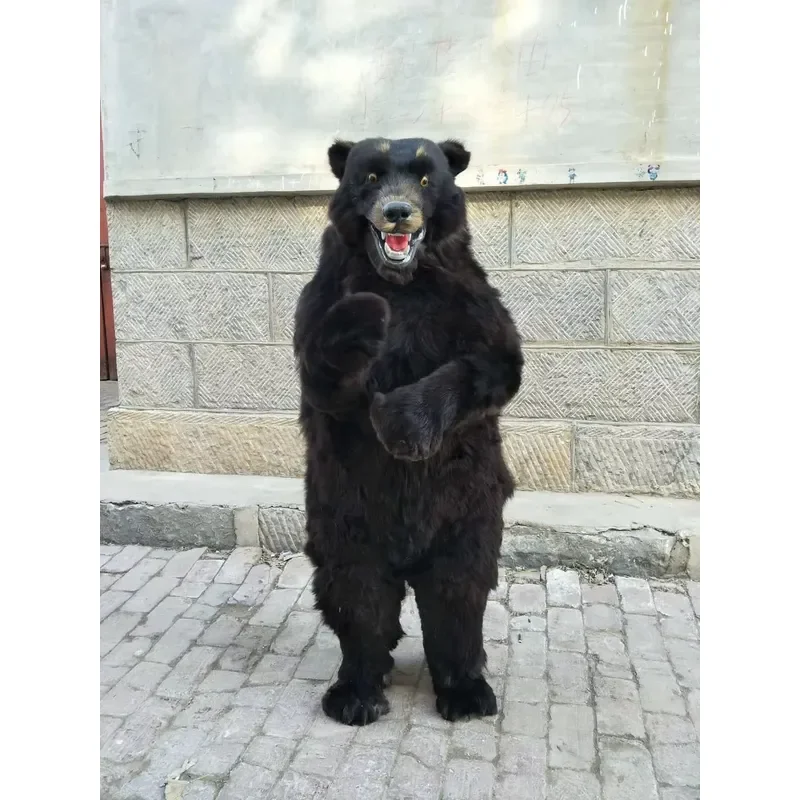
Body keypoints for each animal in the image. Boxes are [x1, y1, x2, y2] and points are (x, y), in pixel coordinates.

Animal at [293, 136, 523, 725]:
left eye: (424, 176)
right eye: (370, 175)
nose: (397, 211)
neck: (401, 280)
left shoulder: (470, 307)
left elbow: (486, 367)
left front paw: (403, 423)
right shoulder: (322, 301)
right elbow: (325, 369)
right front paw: (365, 316)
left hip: (468, 509)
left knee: (459, 592)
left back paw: (465, 689)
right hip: (344, 515)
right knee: (357, 596)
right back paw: (357, 690)